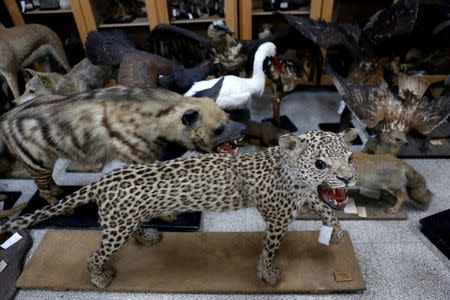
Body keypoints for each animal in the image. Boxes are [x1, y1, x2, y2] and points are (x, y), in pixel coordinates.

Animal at [0, 129, 358, 288]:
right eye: (320, 163)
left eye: (350, 157)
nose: (349, 177)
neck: (291, 171)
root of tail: (102, 180)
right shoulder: (278, 218)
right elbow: (270, 251)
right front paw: (268, 275)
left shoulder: (305, 196)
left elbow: (325, 207)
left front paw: (338, 232)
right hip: (114, 230)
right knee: (94, 254)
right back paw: (100, 278)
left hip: (125, 220)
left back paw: (147, 237)